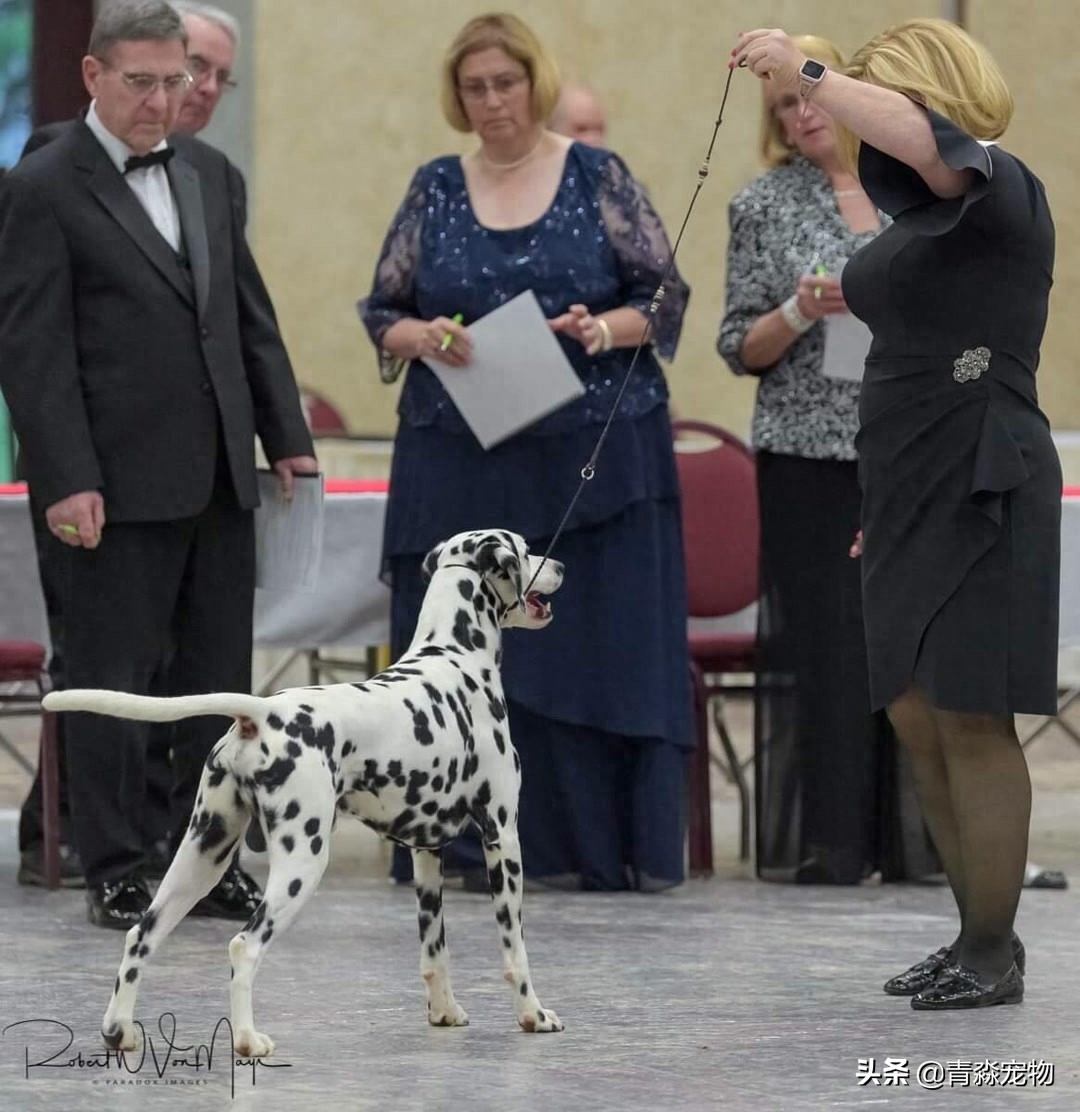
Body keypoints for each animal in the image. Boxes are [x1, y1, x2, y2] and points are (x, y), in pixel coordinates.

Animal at [44, 529, 565, 1058]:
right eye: (526, 551)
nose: (561, 565)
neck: (454, 656)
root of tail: (261, 714)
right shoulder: (502, 837)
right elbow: (515, 949)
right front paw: (534, 1014)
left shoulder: (425, 851)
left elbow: (434, 949)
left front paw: (444, 1011)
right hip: (302, 864)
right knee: (243, 947)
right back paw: (248, 1040)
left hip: (201, 857)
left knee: (140, 934)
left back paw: (120, 1030)